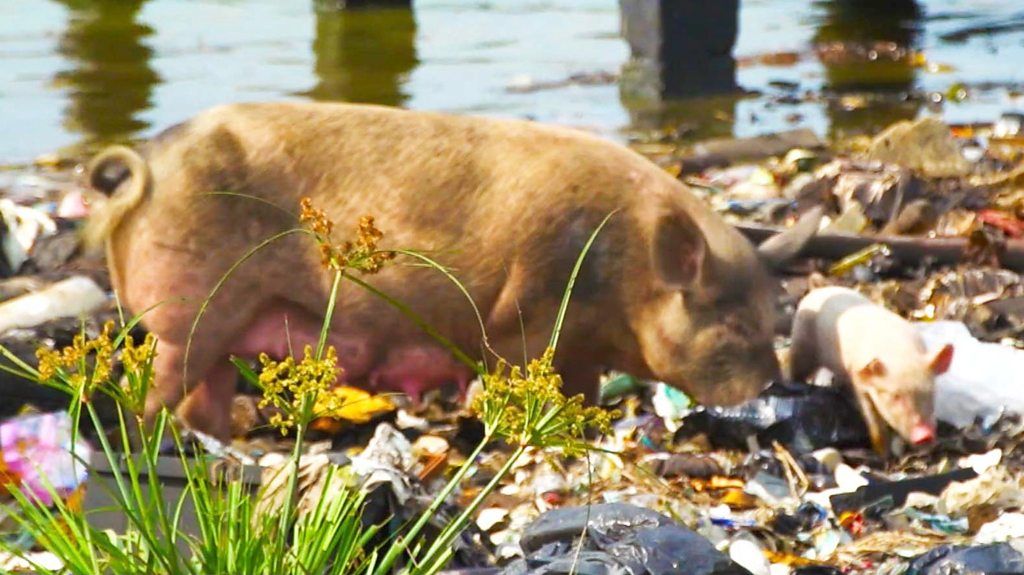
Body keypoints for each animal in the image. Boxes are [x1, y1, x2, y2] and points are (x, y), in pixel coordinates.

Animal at [84, 102, 820, 441]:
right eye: (729, 321)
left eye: (773, 315)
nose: (777, 383)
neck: (627, 277)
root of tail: (148, 167)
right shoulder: (525, 311)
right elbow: (517, 366)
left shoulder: (582, 345)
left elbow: (580, 387)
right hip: (186, 314)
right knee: (160, 384)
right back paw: (154, 438)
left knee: (202, 392)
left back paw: (216, 439)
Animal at [789, 286, 954, 453]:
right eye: (895, 396)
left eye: (931, 392)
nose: (925, 434)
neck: (899, 353)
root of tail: (818, 290)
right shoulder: (859, 380)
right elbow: (872, 419)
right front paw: (883, 453)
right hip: (802, 342)